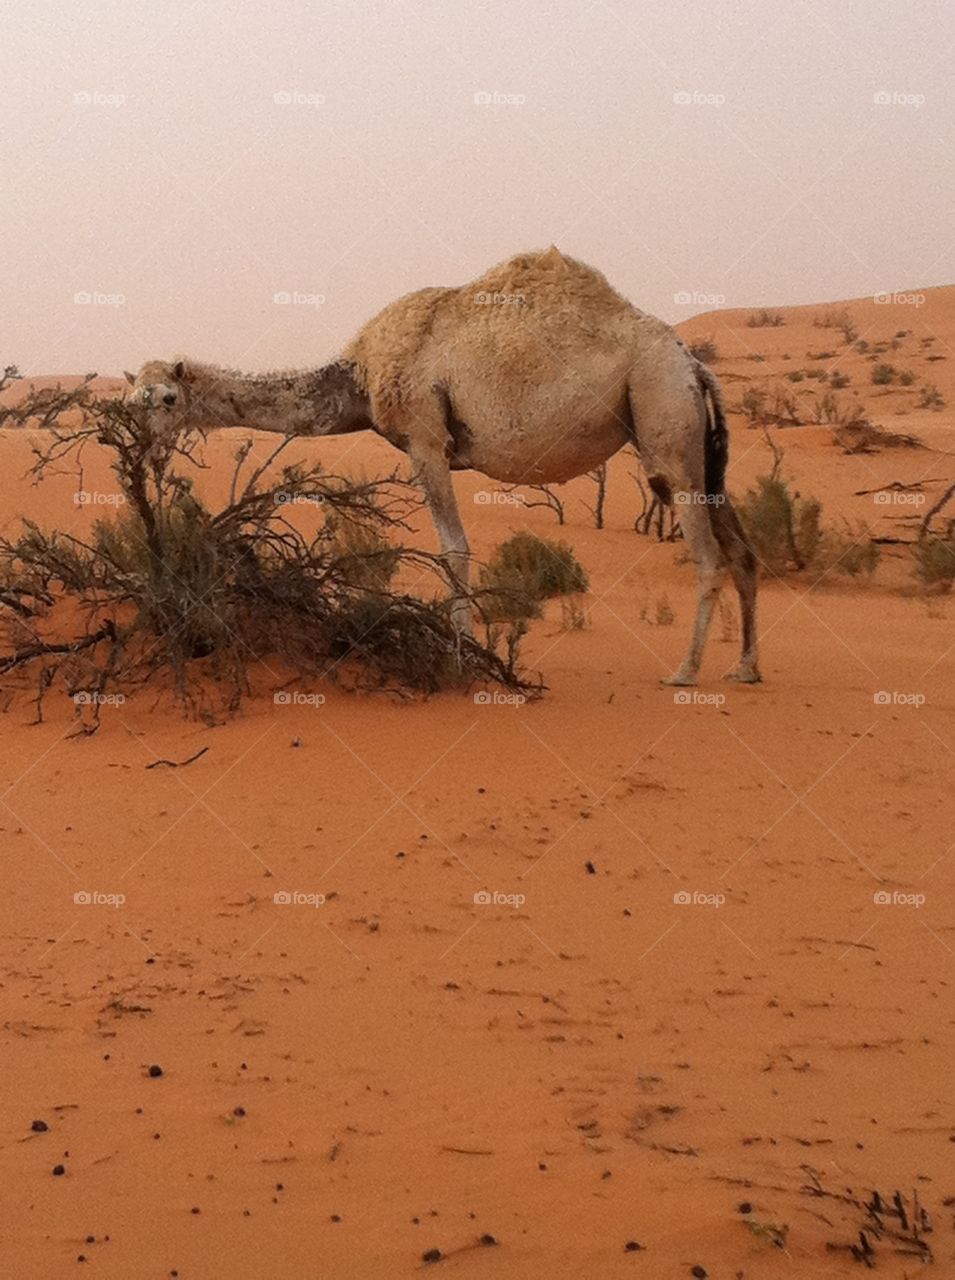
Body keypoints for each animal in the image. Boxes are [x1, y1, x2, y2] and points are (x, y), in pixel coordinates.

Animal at [125, 247, 759, 685]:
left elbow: (453, 549)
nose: (141, 447)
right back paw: (746, 668)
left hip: (662, 412)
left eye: (169, 399)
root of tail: (693, 364)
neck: (359, 375)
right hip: (699, 447)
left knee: (708, 554)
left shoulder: (425, 438)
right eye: (132, 399)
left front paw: (463, 660)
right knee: (742, 549)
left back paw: (685, 672)